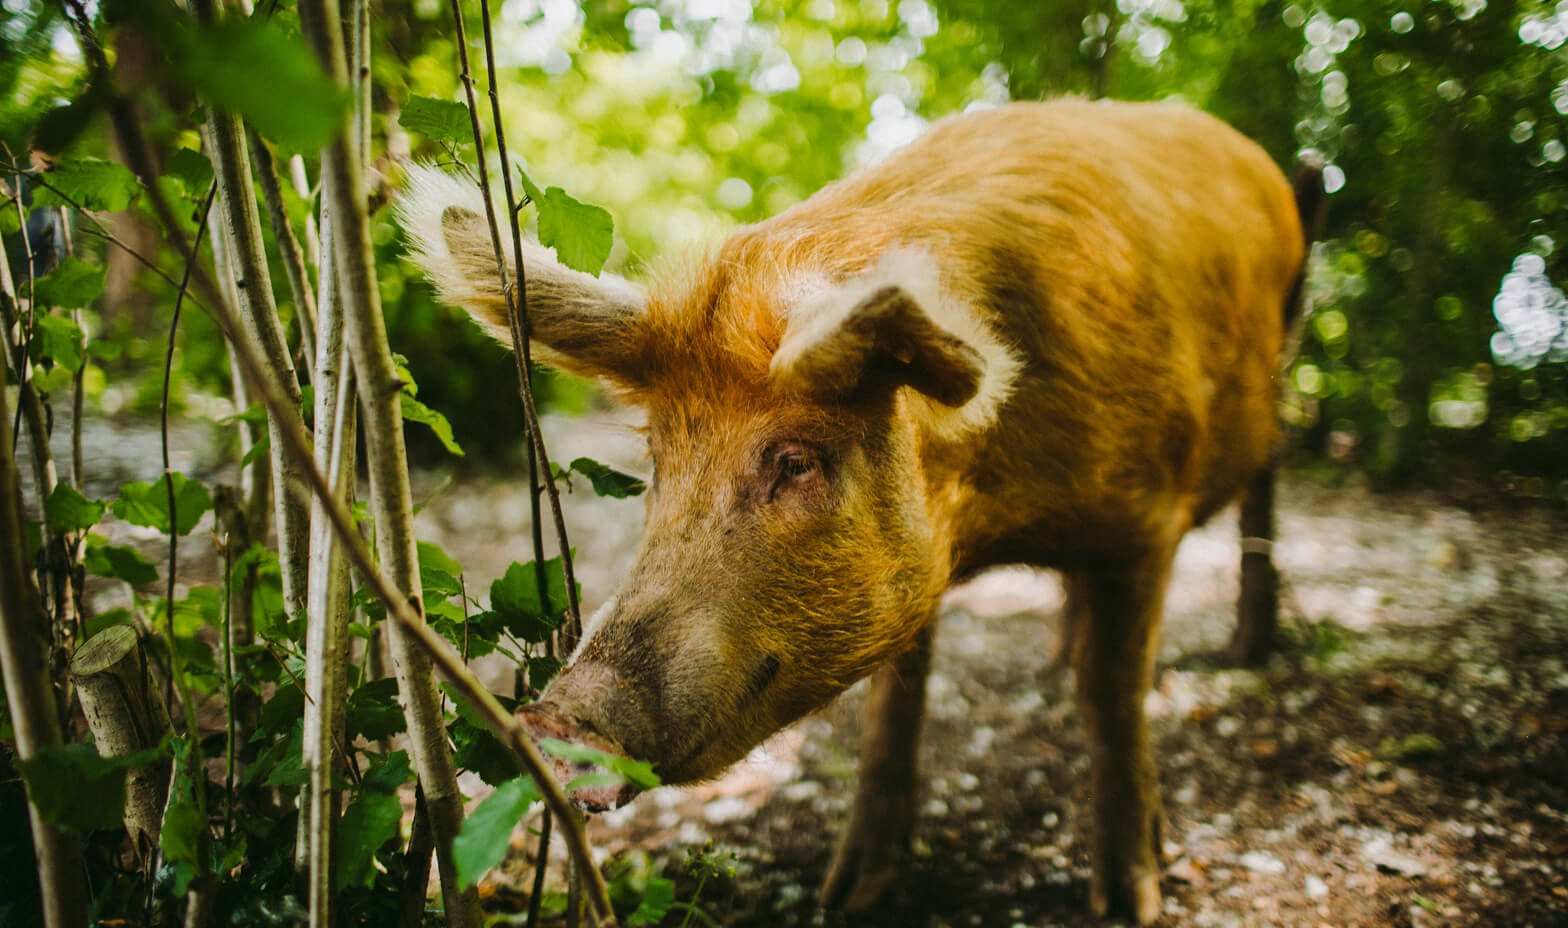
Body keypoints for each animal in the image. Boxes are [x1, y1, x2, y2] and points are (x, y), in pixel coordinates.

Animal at [399, 99, 1313, 924]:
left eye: (797, 461)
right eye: (658, 458)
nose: (553, 716)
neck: (995, 505)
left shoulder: (1144, 522)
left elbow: (1112, 696)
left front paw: (1130, 904)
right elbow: (893, 704)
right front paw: (849, 895)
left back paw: (1244, 646)